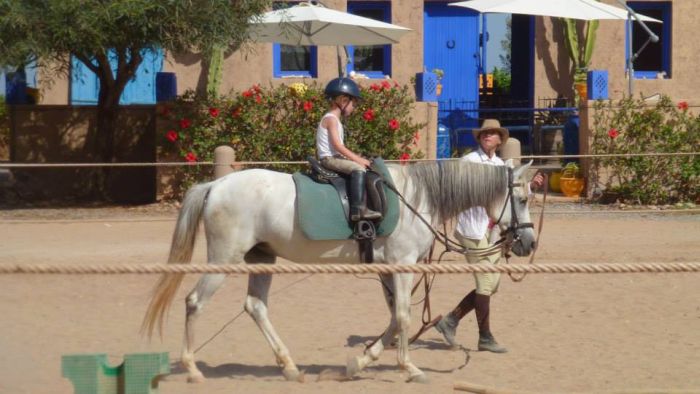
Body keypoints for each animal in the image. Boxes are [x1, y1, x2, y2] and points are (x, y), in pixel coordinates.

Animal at [141, 159, 536, 384]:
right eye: (523, 198)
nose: (529, 243)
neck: (416, 198)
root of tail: (216, 185)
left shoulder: (388, 269)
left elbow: (393, 319)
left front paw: (359, 362)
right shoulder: (403, 264)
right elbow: (404, 317)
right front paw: (409, 368)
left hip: (261, 259)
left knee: (255, 307)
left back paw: (289, 367)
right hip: (225, 258)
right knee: (195, 302)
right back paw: (193, 369)